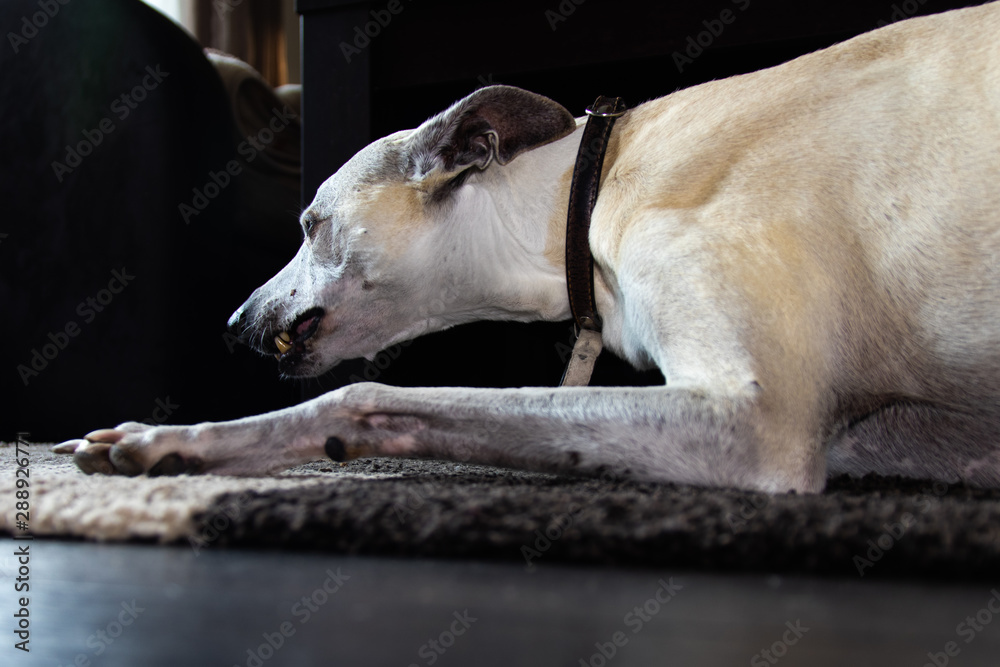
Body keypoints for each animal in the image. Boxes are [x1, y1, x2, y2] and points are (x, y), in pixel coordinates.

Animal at [54, 2, 1000, 494]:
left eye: (311, 223)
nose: (232, 322)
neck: (590, 187)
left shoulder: (757, 422)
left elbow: (368, 395)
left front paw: (176, 440)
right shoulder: (901, 432)